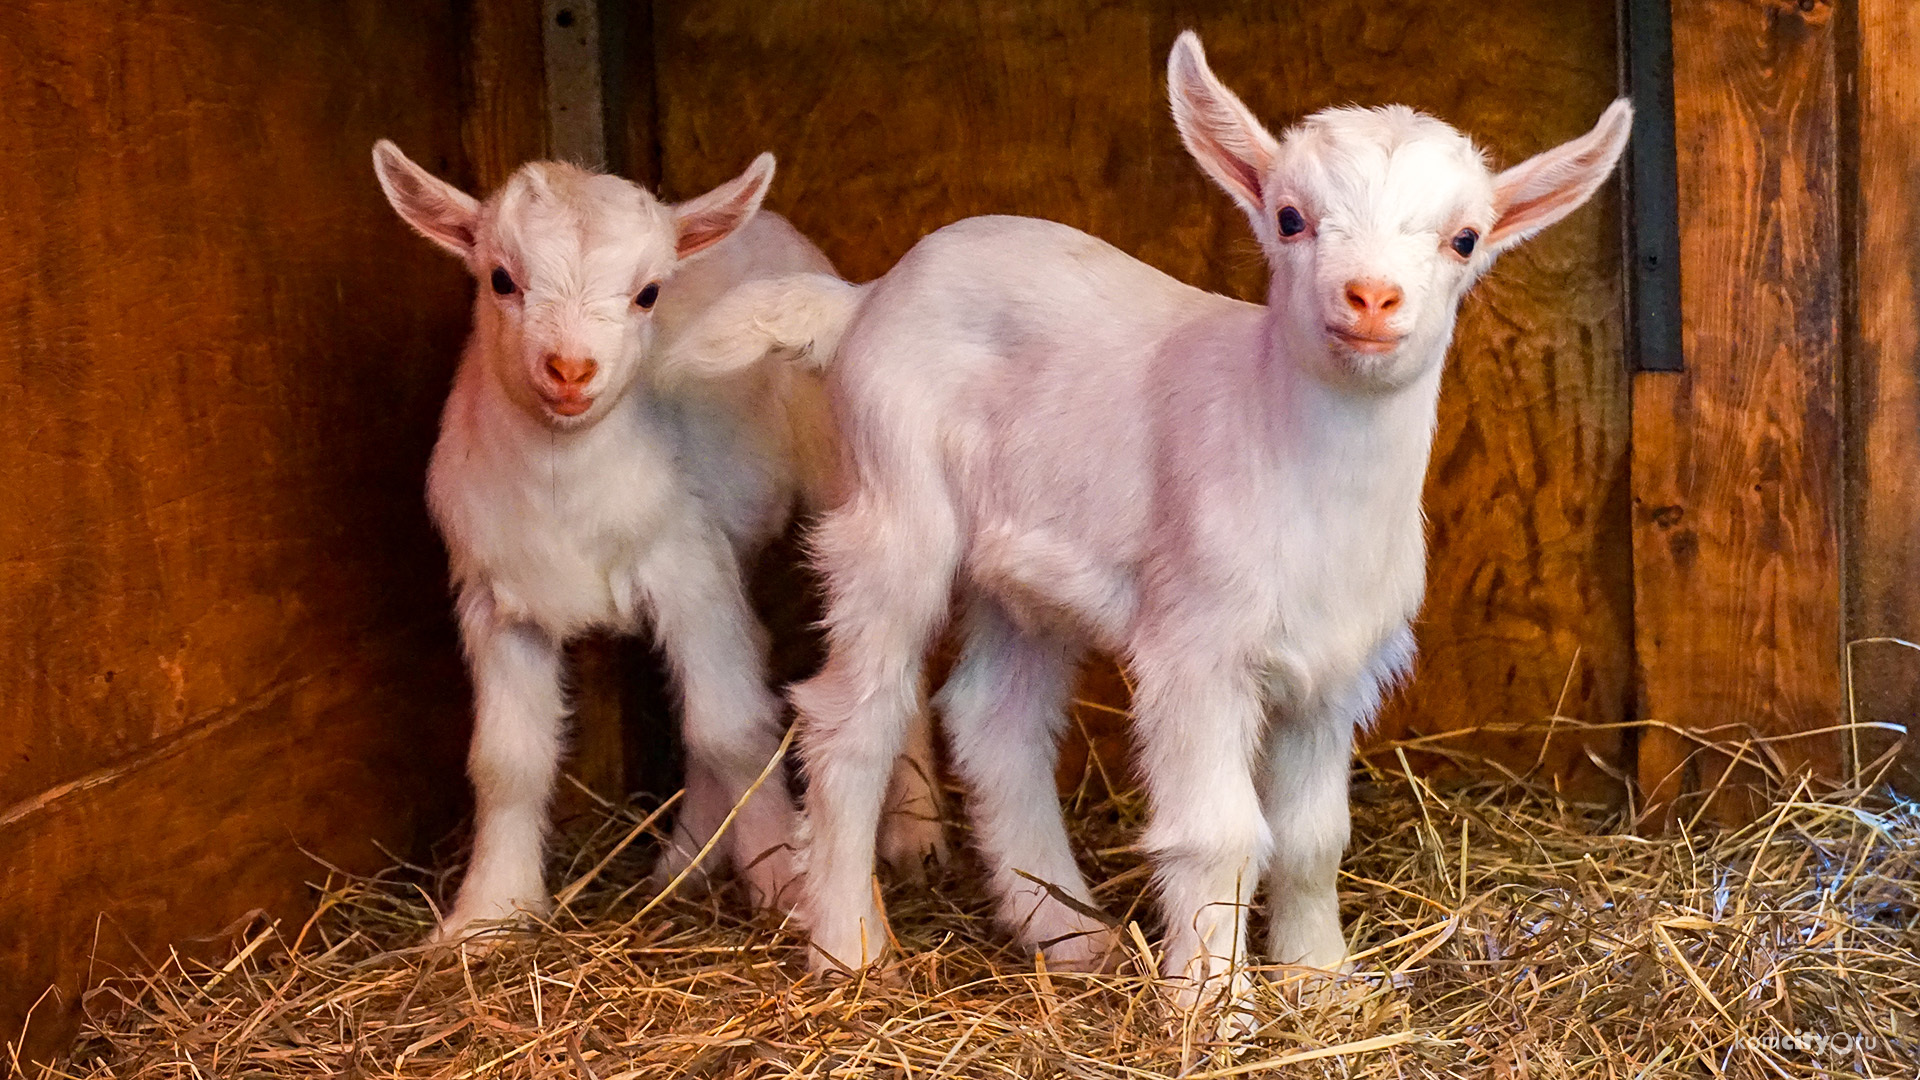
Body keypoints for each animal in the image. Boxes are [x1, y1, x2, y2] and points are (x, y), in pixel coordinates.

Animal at [368, 145, 944, 941]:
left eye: (647, 294)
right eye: (501, 278)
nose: (570, 369)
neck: (564, 485)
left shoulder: (688, 568)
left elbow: (734, 729)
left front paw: (784, 888)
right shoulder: (497, 598)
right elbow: (506, 759)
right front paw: (487, 915)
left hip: (842, 475)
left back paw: (914, 834)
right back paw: (687, 863)